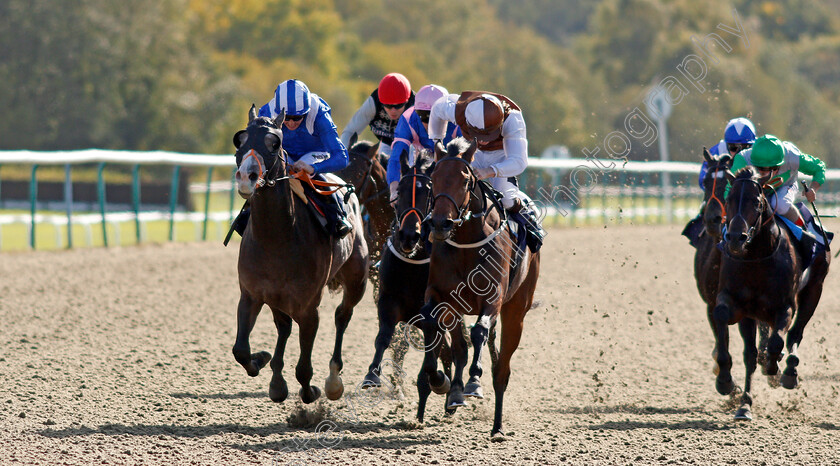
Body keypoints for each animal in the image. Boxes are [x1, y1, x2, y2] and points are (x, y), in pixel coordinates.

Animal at [230, 105, 368, 404]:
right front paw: (262, 359)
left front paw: (310, 391)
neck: (277, 239)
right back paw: (276, 381)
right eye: (240, 141)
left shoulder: (308, 308)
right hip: (277, 299)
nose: (246, 177)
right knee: (283, 327)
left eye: (274, 143)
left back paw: (333, 380)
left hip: (357, 279)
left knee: (343, 316)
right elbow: (240, 350)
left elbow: (304, 367)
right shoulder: (252, 295)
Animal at [418, 137, 540, 438]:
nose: (440, 223)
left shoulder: (493, 298)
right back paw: (454, 394)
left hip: (516, 310)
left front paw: (474, 382)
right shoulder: (441, 296)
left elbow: (480, 331)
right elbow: (433, 325)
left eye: (465, 180)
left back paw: (497, 426)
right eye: (433, 178)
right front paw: (438, 379)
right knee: (461, 348)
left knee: (503, 368)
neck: (466, 242)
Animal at [712, 167, 832, 418]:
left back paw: (789, 372)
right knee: (750, 355)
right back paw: (745, 404)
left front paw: (773, 365)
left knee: (795, 334)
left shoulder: (785, 306)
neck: (757, 258)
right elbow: (721, 316)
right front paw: (725, 380)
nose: (735, 238)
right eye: (728, 200)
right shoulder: (737, 304)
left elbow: (777, 341)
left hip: (814, 289)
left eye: (757, 202)